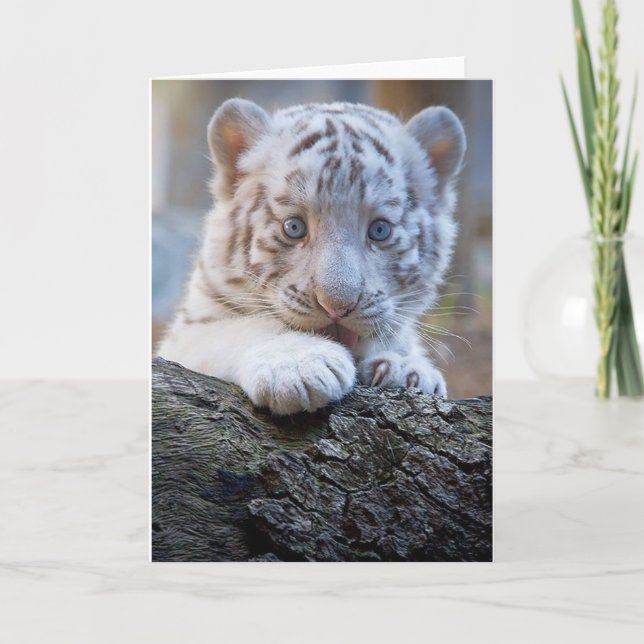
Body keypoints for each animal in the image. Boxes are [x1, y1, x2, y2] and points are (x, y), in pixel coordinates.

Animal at [158, 98, 466, 415]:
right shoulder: (184, 336)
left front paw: (406, 369)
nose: (338, 307)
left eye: (380, 230)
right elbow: (240, 328)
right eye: (294, 227)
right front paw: (297, 366)